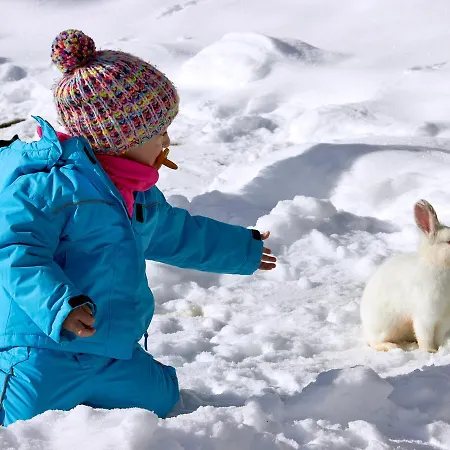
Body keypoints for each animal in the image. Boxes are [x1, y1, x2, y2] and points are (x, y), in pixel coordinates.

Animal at [361, 199, 450, 352]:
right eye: (449, 242)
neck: (438, 264)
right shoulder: (425, 316)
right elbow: (425, 336)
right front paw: (430, 351)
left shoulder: (443, 320)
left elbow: (437, 337)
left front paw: (439, 349)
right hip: (384, 328)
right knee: (374, 342)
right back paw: (392, 346)